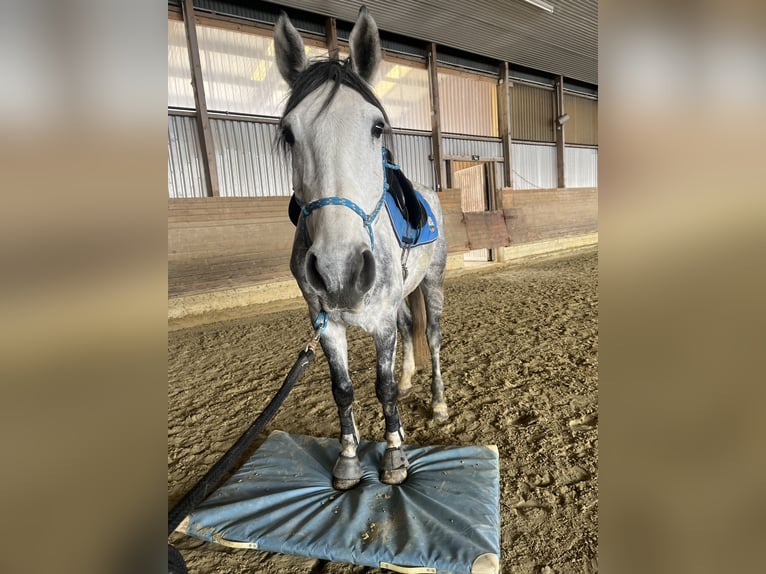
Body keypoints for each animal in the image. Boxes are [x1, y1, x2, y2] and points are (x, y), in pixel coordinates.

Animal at [274, 6, 448, 490]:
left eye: (376, 126)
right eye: (289, 134)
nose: (339, 272)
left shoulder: (380, 323)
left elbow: (381, 387)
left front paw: (393, 456)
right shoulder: (326, 325)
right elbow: (344, 388)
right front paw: (349, 458)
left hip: (432, 281)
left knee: (432, 335)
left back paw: (438, 403)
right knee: (411, 329)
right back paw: (409, 383)